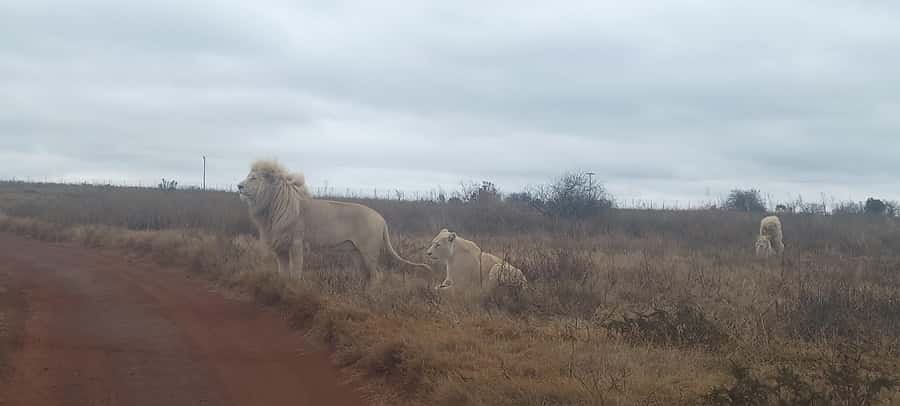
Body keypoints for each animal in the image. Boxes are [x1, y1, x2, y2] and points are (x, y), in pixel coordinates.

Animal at [237, 160, 431, 280]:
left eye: (253, 178)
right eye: (248, 175)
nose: (239, 186)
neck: (270, 207)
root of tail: (381, 219)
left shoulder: (296, 243)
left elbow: (296, 272)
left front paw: (295, 288)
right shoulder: (280, 246)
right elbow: (283, 273)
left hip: (369, 251)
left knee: (376, 275)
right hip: (356, 252)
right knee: (365, 276)